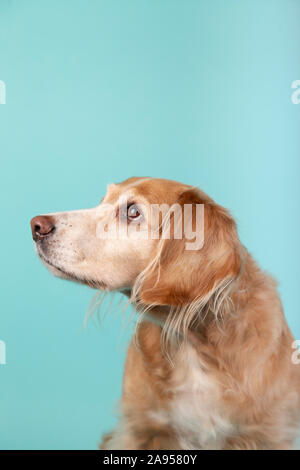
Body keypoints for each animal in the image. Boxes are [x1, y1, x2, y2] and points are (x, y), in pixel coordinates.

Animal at [30, 178, 300, 450]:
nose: (36, 225)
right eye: (102, 200)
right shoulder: (139, 430)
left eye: (133, 212)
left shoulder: (269, 434)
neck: (192, 345)